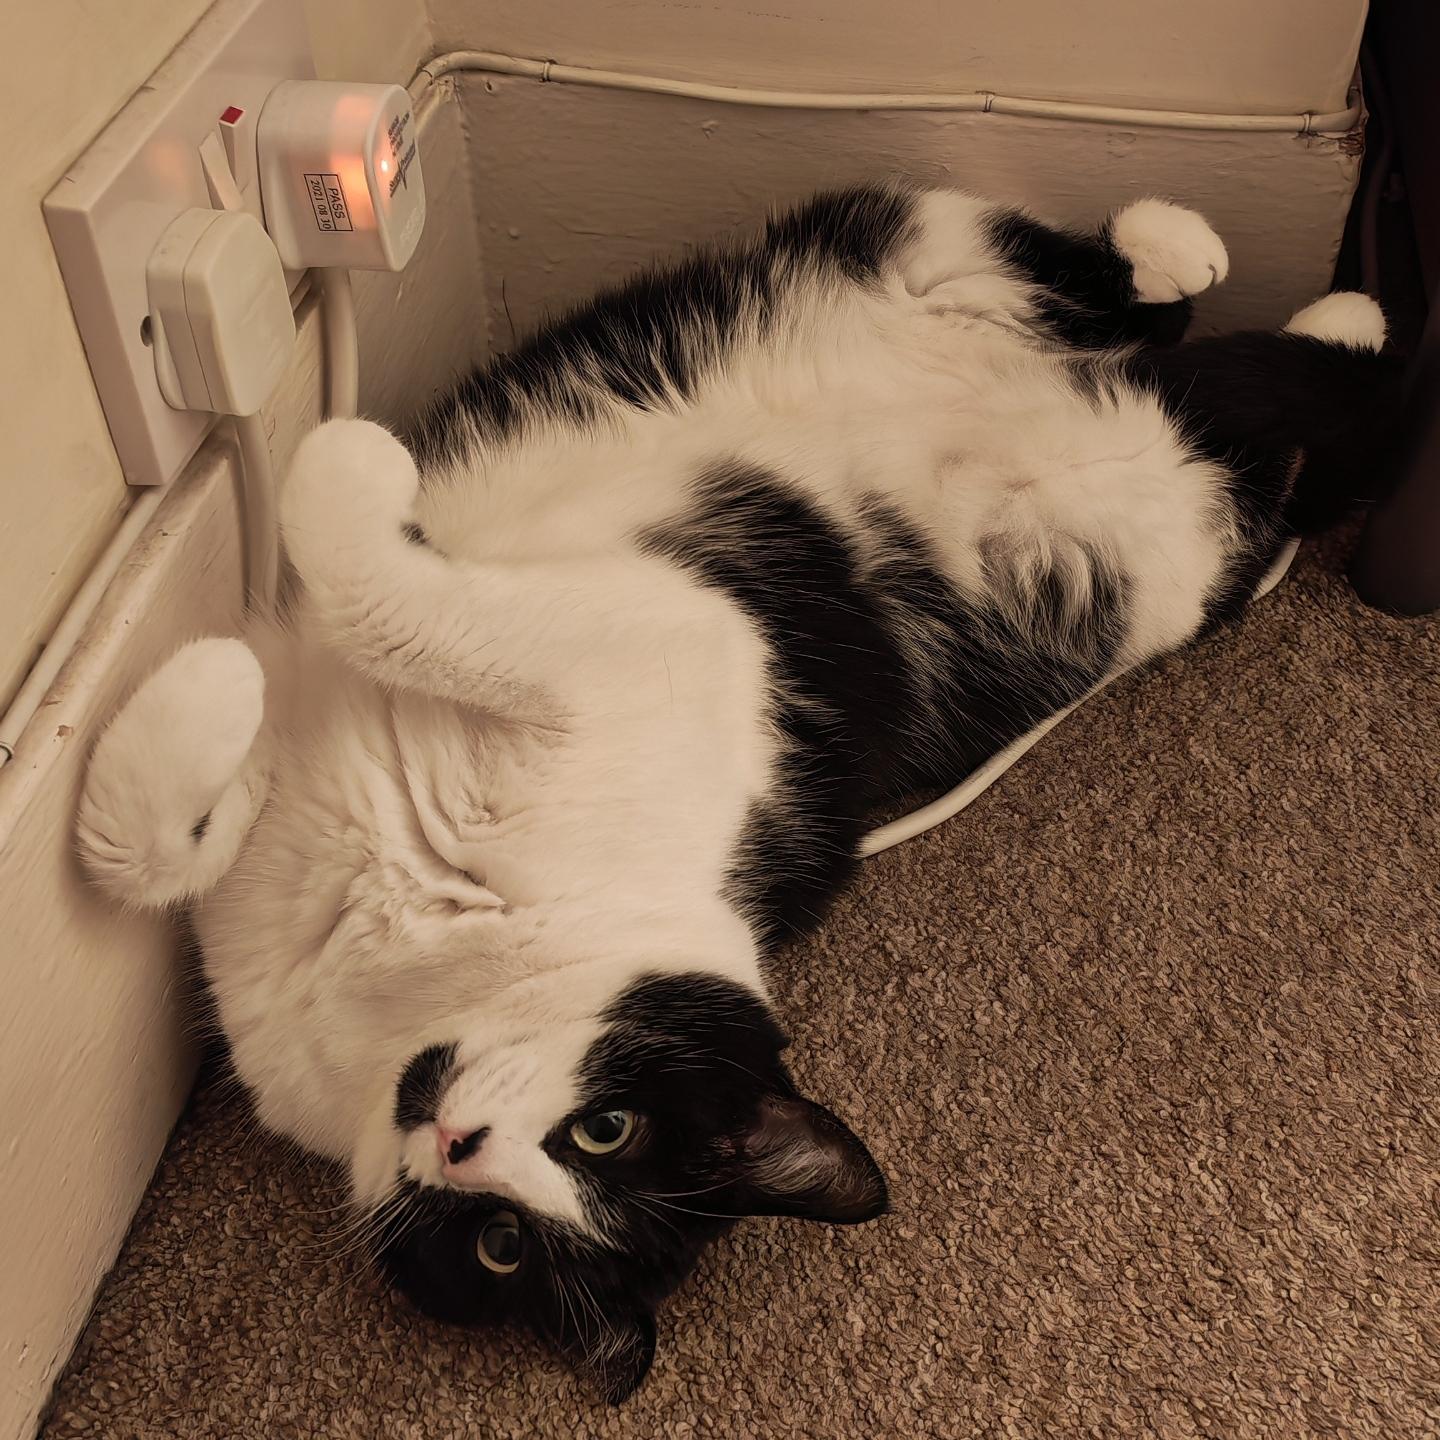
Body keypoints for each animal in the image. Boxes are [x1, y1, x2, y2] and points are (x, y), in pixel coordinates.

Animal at [76, 183, 1398, 1402]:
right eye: (501, 1242)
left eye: (592, 1152)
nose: (459, 1147)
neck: (409, 974)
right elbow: (150, 843)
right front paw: (207, 700)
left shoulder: (686, 641)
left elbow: (376, 599)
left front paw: (325, 498)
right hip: (912, 252)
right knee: (1119, 306)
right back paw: (1209, 257)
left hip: (1134, 543)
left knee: (1272, 413)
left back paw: (1310, 305)